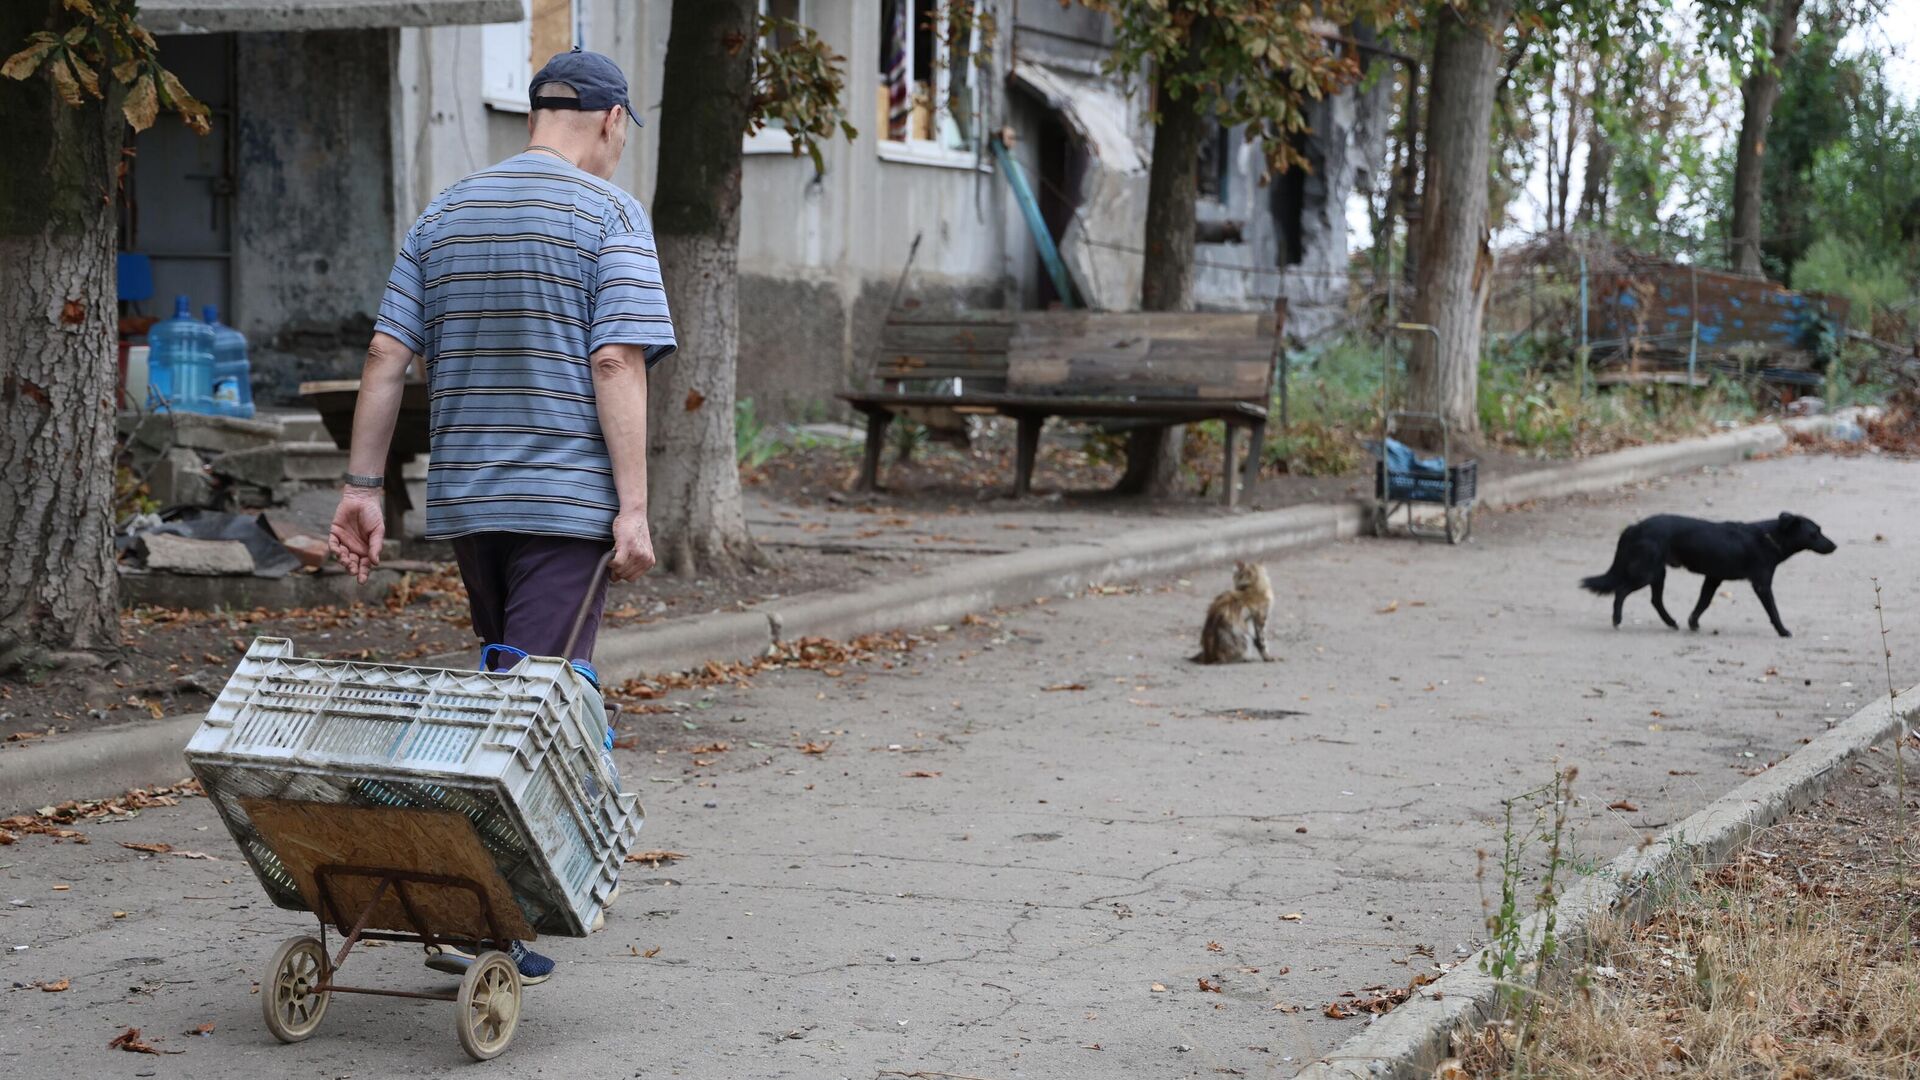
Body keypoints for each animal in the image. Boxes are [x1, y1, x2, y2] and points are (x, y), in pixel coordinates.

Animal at [1582, 511, 1835, 634]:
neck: (1769, 537)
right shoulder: (1762, 585)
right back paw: (1617, 620)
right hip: (1645, 572)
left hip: (1657, 573)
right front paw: (1783, 631)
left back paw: (1671, 622)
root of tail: (1635, 527)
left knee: (1655, 600)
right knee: (1621, 590)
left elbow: (1702, 603)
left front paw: (1693, 622)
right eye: (1815, 533)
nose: (1835, 546)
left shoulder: (1713, 578)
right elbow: (1773, 611)